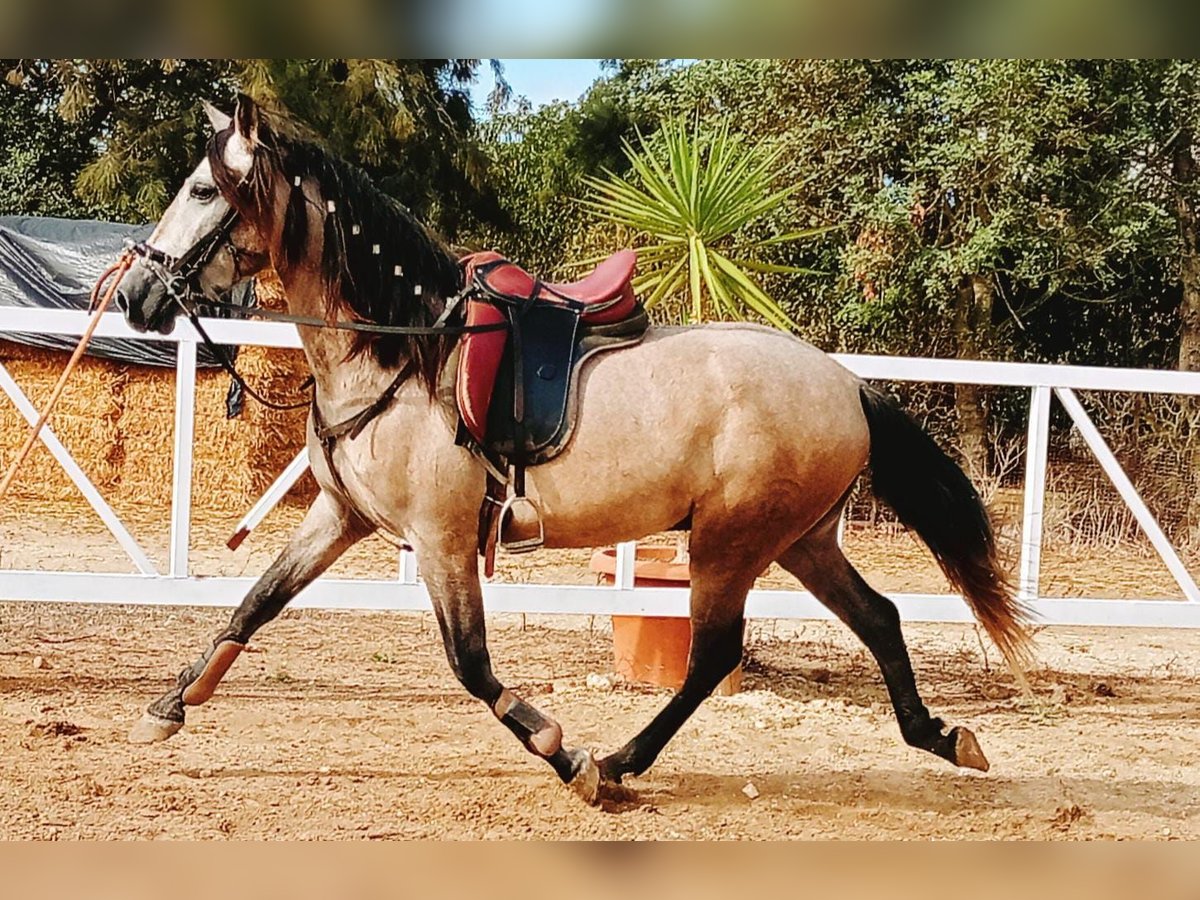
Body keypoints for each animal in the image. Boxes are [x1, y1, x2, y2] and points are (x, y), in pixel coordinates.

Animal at [114, 95, 1032, 806]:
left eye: (203, 188)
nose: (136, 294)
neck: (403, 352)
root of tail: (845, 384)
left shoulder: (443, 540)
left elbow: (471, 664)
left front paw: (565, 754)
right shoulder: (342, 517)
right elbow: (254, 603)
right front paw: (168, 707)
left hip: (731, 543)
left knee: (714, 655)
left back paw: (620, 763)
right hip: (798, 540)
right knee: (877, 618)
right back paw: (940, 736)